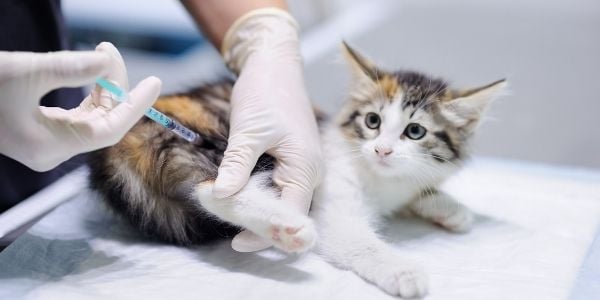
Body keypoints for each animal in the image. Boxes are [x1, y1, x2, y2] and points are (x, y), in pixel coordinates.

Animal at [86, 42, 504, 298]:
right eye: (372, 121)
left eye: (415, 132)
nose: (382, 149)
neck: (378, 177)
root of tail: (125, 136)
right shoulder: (334, 208)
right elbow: (361, 241)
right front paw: (403, 272)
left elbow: (416, 190)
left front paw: (450, 209)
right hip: (222, 142)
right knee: (211, 189)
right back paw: (289, 226)